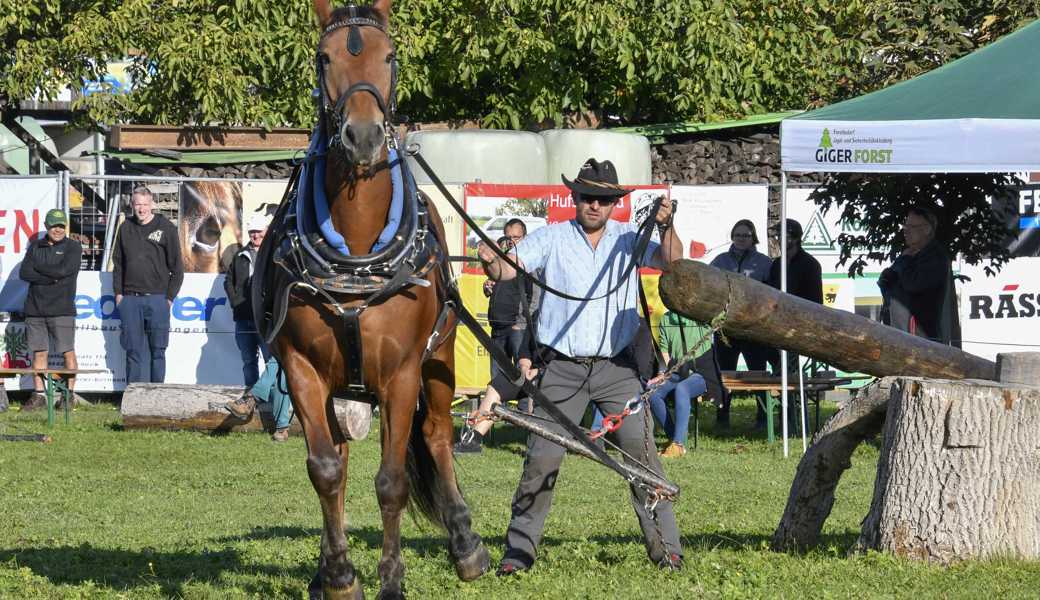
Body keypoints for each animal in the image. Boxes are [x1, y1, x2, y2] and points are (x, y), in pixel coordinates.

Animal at [255, 2, 490, 594]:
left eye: (389, 56)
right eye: (324, 57)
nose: (361, 135)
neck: (359, 257)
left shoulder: (401, 374)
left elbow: (392, 481)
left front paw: (391, 580)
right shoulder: (301, 368)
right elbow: (325, 469)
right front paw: (340, 575)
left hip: (439, 358)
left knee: (437, 435)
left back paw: (466, 545)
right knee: (337, 457)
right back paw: (324, 570)